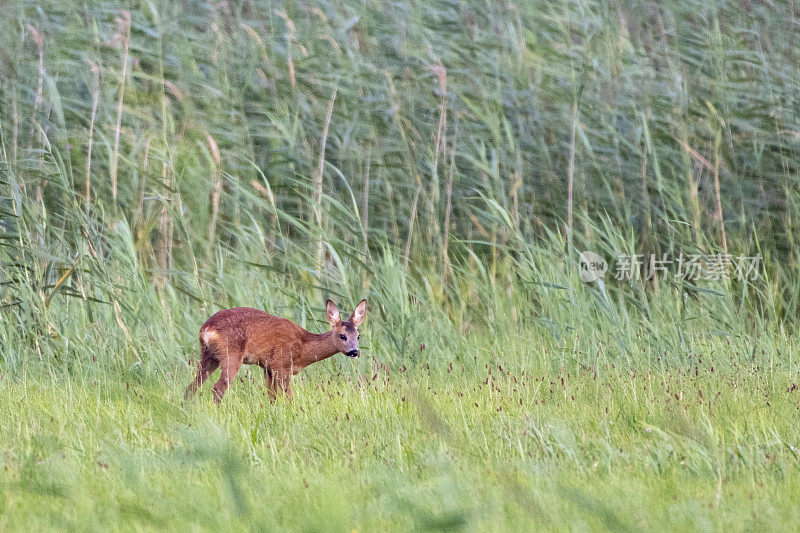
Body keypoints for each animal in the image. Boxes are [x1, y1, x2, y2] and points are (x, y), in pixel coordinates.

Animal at [184, 300, 366, 404]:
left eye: (358, 336)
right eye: (342, 335)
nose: (354, 351)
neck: (303, 347)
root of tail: (206, 328)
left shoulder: (268, 367)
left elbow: (272, 395)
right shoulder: (281, 364)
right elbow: (288, 396)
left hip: (209, 355)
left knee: (192, 386)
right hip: (232, 353)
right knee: (218, 387)